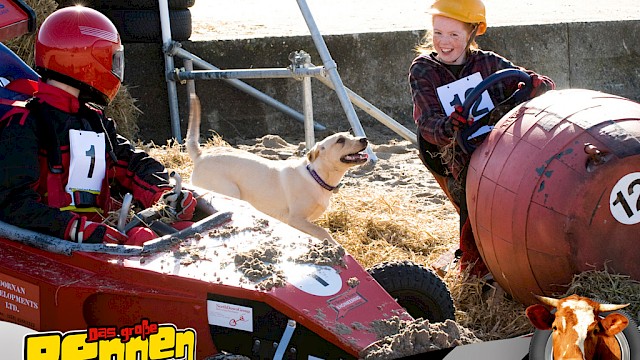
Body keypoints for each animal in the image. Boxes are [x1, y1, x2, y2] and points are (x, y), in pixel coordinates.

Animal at [185, 95, 368, 242]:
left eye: (350, 135)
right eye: (340, 140)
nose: (364, 139)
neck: (317, 176)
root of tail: (201, 156)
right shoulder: (296, 219)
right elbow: (323, 232)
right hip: (229, 191)